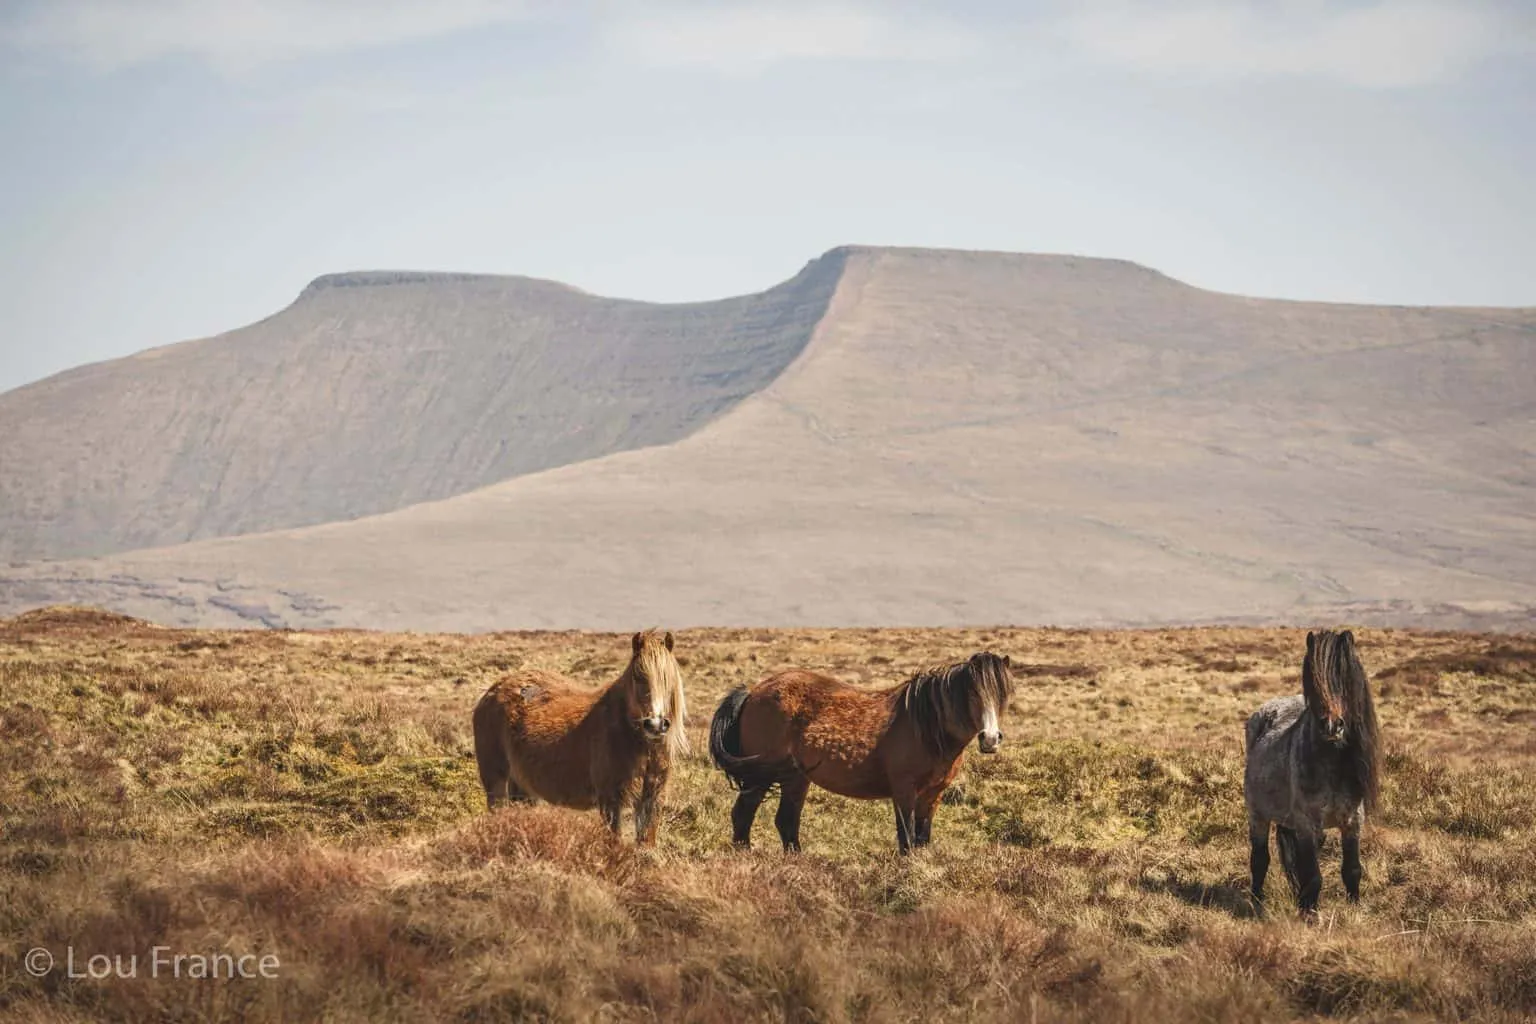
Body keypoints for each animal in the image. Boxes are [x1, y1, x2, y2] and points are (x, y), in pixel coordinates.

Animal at [466, 632, 685, 847]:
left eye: (668, 677)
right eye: (638, 675)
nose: (655, 724)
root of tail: (491, 691)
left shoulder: (652, 798)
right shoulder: (610, 800)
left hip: (522, 787)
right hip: (496, 782)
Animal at [709, 657, 1019, 859]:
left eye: (1004, 694)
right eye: (972, 692)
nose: (990, 739)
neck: (925, 725)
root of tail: (753, 692)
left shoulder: (933, 795)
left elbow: (922, 837)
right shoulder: (904, 791)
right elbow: (906, 838)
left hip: (795, 779)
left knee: (786, 821)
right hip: (760, 777)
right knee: (744, 814)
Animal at [1241, 629, 1388, 914]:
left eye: (1343, 676)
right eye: (1311, 677)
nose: (1332, 726)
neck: (1330, 766)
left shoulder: (1352, 821)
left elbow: (1352, 870)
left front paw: (1354, 909)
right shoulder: (1306, 824)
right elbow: (1312, 876)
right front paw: (1309, 913)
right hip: (1259, 816)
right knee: (1260, 858)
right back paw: (1257, 901)